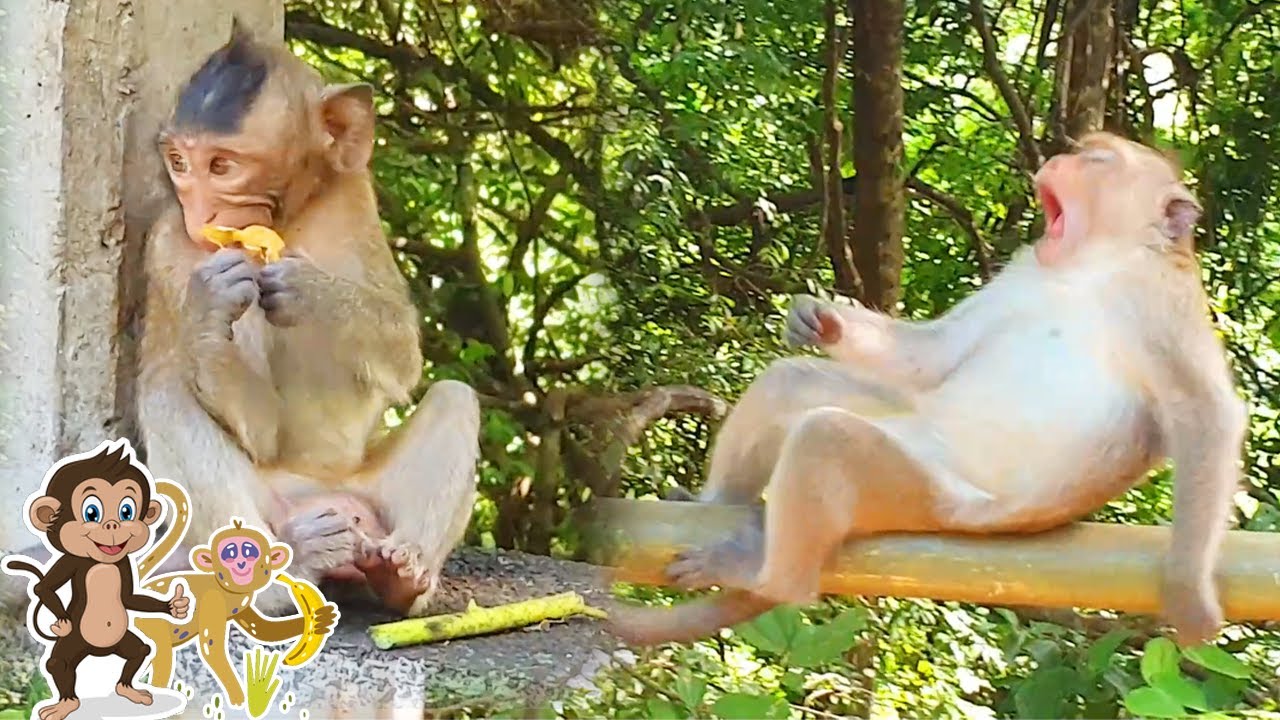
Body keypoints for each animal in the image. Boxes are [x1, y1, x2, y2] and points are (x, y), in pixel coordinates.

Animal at [2, 441, 190, 720]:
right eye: (91, 512)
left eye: (127, 510)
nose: (112, 526)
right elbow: (44, 586)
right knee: (58, 662)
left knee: (139, 651)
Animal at [133, 19, 480, 616]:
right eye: (179, 163)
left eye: (221, 166)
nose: (202, 214)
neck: (289, 219)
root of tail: (322, 494)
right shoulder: (170, 249)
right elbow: (259, 428)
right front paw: (208, 310)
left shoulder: (356, 201)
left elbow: (404, 356)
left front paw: (312, 294)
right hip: (268, 514)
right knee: (167, 396)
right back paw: (282, 578)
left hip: (369, 498)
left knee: (457, 397)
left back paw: (402, 579)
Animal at [606, 132, 1248, 649]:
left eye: (1097, 158)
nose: (1059, 158)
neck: (1087, 266)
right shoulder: (1023, 269)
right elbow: (932, 357)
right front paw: (819, 319)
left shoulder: (1157, 301)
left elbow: (1204, 412)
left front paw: (1188, 591)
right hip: (904, 427)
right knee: (795, 382)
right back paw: (716, 502)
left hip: (930, 500)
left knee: (829, 439)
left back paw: (775, 579)